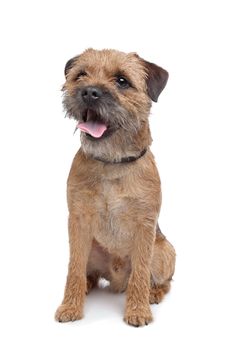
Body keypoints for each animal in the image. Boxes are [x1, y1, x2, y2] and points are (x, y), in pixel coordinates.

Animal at [54, 47, 175, 326]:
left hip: (165, 250)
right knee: (87, 273)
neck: (111, 164)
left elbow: (140, 271)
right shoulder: (78, 220)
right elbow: (74, 268)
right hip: (90, 247)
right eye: (81, 75)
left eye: (122, 81)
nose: (89, 92)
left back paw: (153, 293)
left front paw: (138, 310)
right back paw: (87, 287)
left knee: (161, 280)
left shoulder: (145, 225)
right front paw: (70, 306)